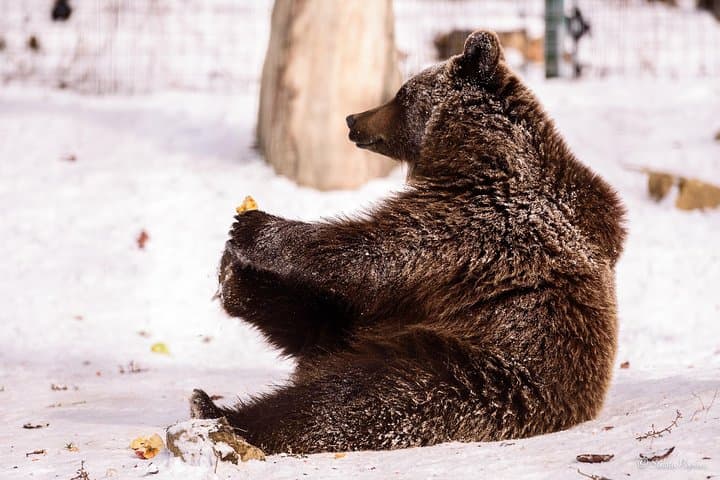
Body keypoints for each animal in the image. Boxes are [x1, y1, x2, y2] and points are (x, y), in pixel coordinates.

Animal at [190, 30, 626, 454]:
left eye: (401, 92)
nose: (353, 118)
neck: (473, 154)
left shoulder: (481, 223)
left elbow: (378, 250)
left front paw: (254, 227)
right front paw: (238, 255)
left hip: (476, 373)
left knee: (350, 399)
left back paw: (222, 411)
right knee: (322, 324)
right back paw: (237, 287)